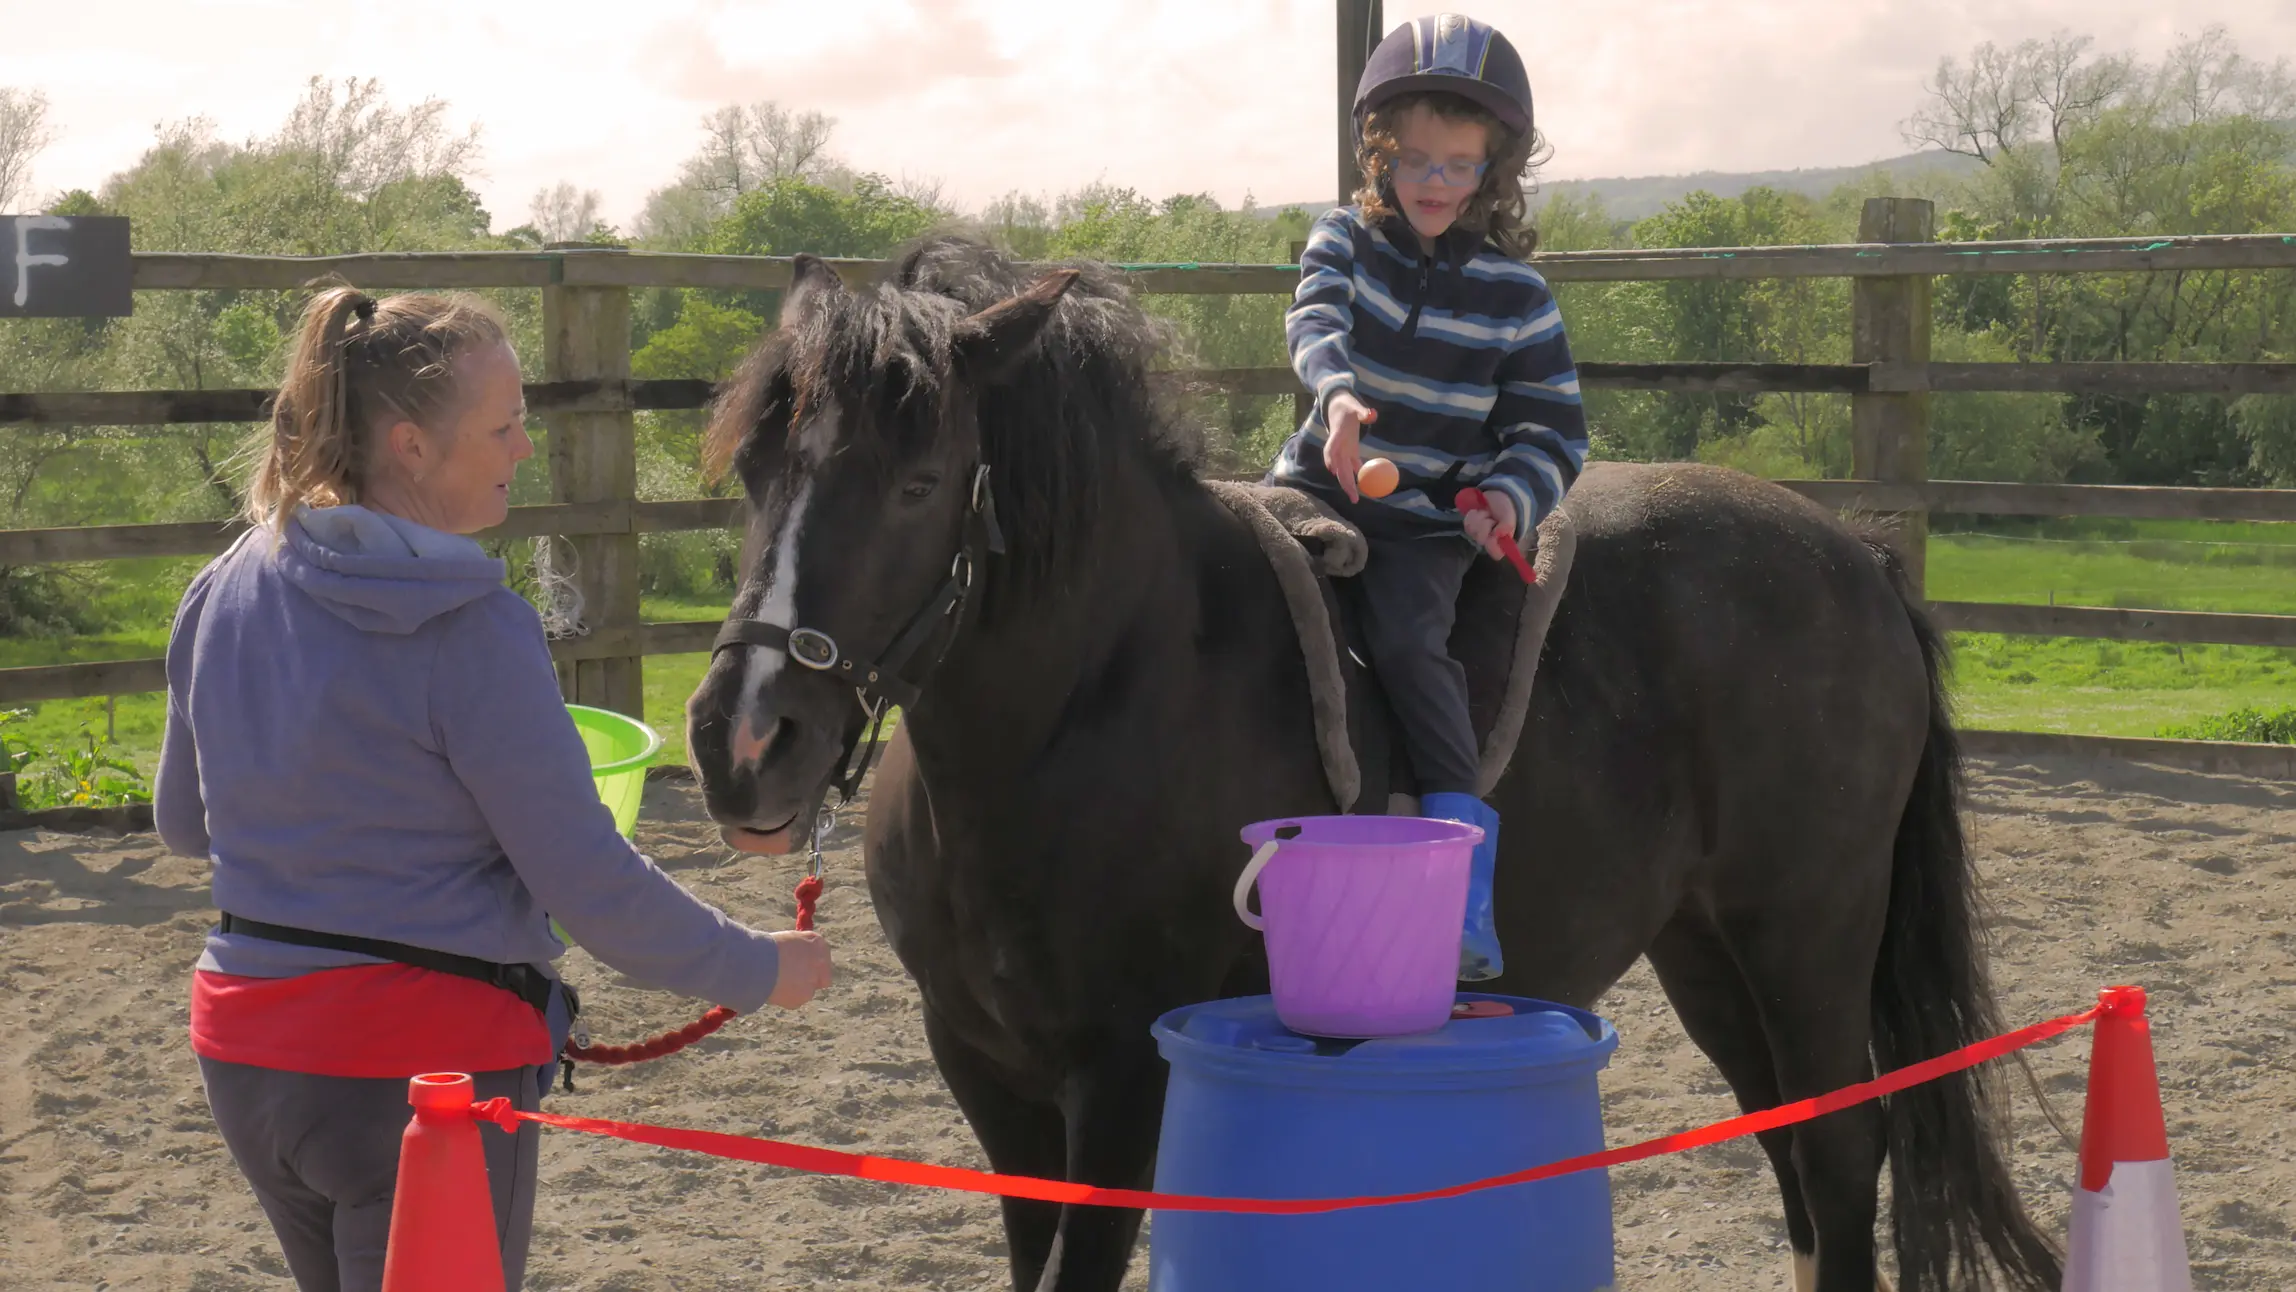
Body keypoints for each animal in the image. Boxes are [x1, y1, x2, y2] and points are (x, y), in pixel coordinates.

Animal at [682, 236, 2061, 1292]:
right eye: (754, 466)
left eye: (919, 482)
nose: (742, 737)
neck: (1097, 691)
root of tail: (1856, 557)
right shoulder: (982, 1068)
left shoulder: (1122, 1072)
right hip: (1709, 950)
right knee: (1793, 1158)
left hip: (1807, 936)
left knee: (1839, 1151)